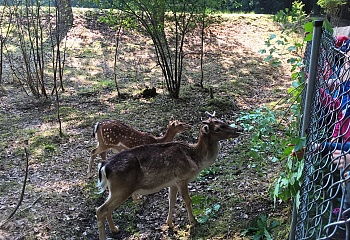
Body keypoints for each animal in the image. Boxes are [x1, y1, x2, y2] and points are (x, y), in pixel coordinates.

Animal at [95, 113, 242, 240]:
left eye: (223, 122)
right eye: (218, 128)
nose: (238, 130)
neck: (195, 159)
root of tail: (104, 166)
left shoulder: (173, 182)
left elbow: (171, 202)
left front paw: (170, 224)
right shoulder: (182, 178)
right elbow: (187, 200)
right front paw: (193, 221)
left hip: (115, 190)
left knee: (107, 209)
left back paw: (115, 229)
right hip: (121, 189)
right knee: (100, 210)